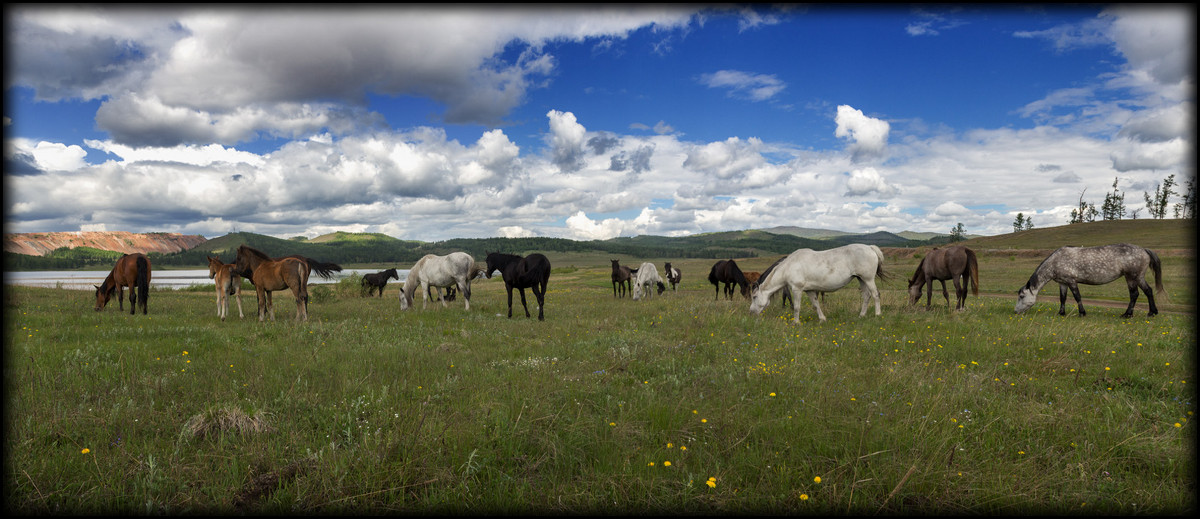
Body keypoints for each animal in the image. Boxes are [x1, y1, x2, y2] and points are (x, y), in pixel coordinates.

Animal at [744, 243, 888, 324]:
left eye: (754, 297)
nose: (751, 312)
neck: (790, 266)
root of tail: (870, 248)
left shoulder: (797, 289)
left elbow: (797, 307)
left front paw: (796, 322)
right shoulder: (810, 290)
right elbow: (816, 305)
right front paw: (822, 319)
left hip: (868, 279)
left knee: (875, 295)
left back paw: (878, 314)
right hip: (861, 279)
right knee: (866, 296)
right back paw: (861, 315)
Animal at [1012, 242, 1161, 317]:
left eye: (1021, 296)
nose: (1015, 311)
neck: (1056, 261)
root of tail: (1144, 250)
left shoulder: (1071, 281)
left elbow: (1077, 297)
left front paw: (1082, 313)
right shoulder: (1063, 283)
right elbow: (1062, 298)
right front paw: (1061, 313)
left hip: (1131, 277)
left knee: (1134, 294)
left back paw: (1127, 314)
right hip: (1139, 277)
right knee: (1148, 291)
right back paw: (1152, 312)